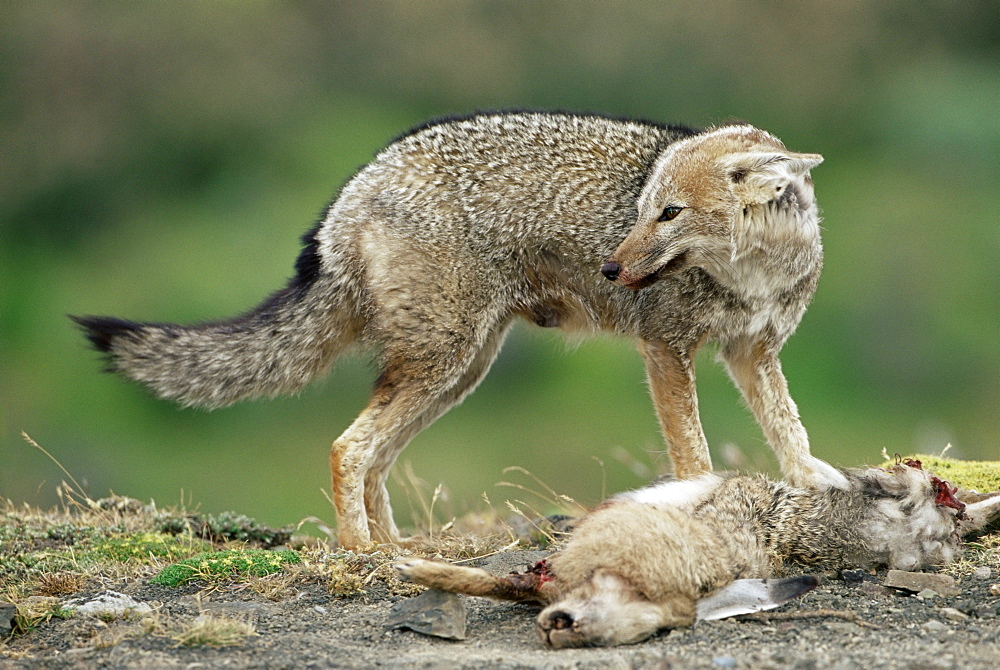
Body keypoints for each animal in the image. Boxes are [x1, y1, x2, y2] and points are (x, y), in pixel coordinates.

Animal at [74, 111, 844, 552]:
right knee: (348, 447)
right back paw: (362, 554)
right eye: (640, 211)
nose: (610, 267)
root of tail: (351, 189)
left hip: (457, 371)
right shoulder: (666, 349)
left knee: (374, 457)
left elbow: (792, 434)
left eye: (670, 213)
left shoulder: (753, 353)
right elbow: (696, 456)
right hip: (444, 362)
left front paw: (816, 484)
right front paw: (696, 509)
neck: (755, 272)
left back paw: (404, 549)